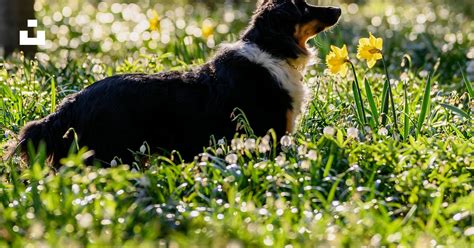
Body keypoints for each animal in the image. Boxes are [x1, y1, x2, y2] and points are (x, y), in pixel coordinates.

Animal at [11, 0, 340, 167]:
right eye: (304, 7)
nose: (337, 10)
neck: (273, 48)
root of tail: (71, 103)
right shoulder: (269, 135)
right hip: (113, 156)